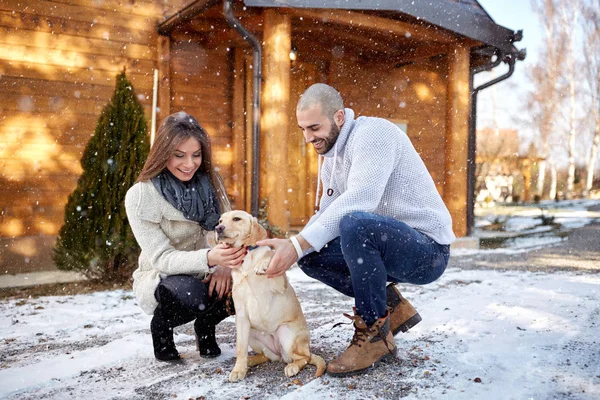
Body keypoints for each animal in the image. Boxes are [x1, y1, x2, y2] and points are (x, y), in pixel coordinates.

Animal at [216, 209, 326, 382]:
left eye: (236, 219)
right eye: (220, 220)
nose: (218, 228)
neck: (246, 256)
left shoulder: (279, 282)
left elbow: (271, 255)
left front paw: (262, 264)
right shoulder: (241, 315)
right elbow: (240, 348)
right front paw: (238, 369)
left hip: (287, 335)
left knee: (304, 358)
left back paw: (292, 367)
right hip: (252, 334)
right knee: (267, 356)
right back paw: (251, 361)